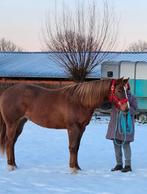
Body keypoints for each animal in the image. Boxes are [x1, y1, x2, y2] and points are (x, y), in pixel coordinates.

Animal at [0, 77, 129, 171]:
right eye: (119, 90)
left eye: (127, 91)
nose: (126, 108)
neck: (80, 101)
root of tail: (5, 92)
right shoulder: (73, 128)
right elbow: (72, 147)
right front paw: (73, 169)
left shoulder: (81, 128)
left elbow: (77, 147)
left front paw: (77, 167)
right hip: (12, 123)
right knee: (9, 142)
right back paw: (11, 166)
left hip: (20, 124)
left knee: (12, 143)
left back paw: (14, 164)